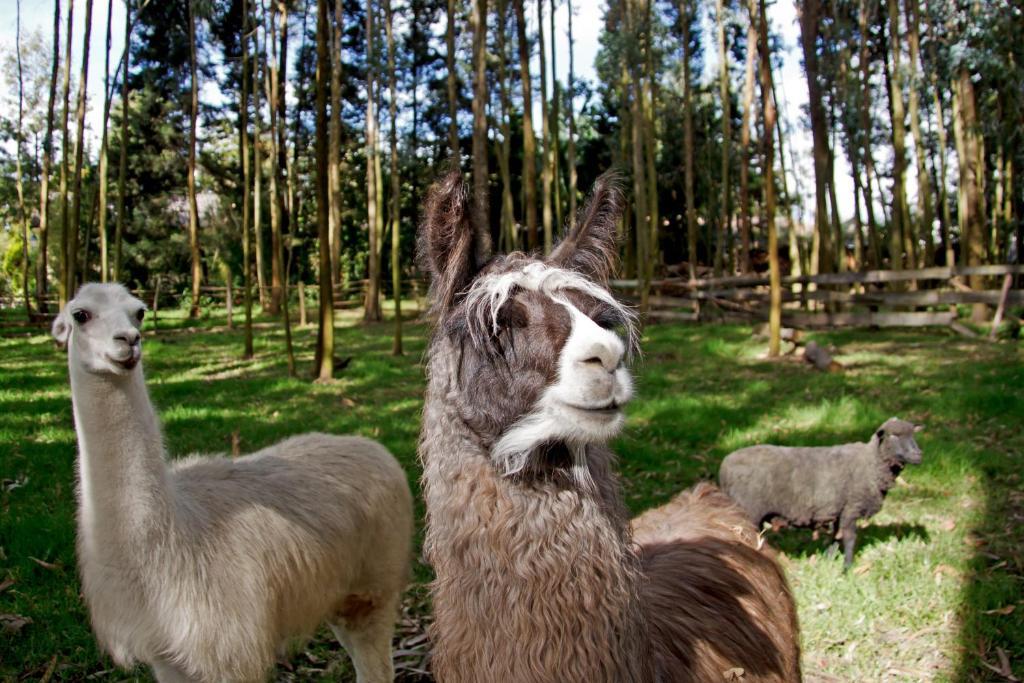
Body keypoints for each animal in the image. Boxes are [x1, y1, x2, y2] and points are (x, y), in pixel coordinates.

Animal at [716, 419, 925, 569]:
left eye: (913, 435)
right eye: (894, 436)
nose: (918, 455)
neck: (871, 462)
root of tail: (724, 466)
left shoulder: (841, 510)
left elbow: (837, 537)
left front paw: (829, 560)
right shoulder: (852, 507)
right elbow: (850, 538)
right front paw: (847, 568)